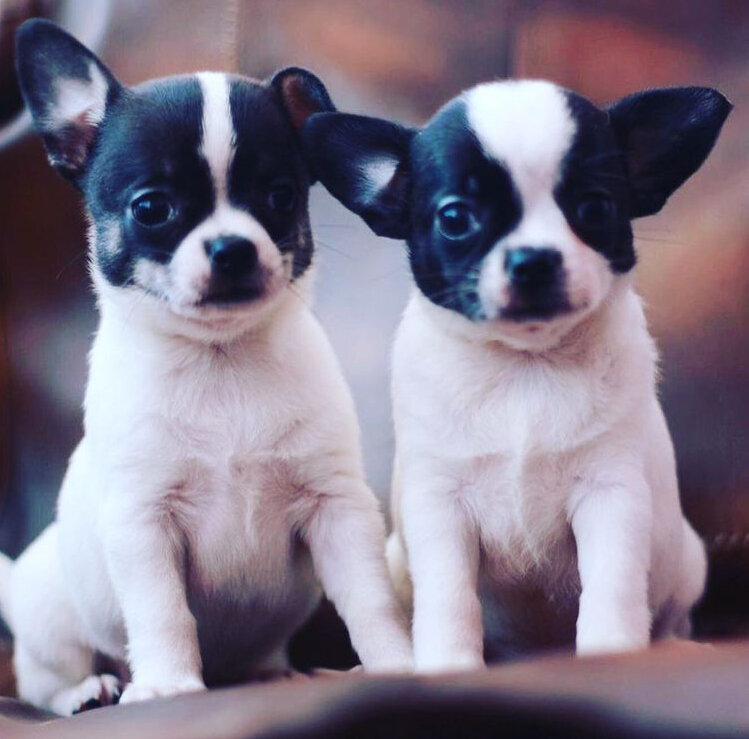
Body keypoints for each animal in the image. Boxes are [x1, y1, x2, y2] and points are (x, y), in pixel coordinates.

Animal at [0, 19, 412, 713]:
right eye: (151, 209)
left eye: (280, 198)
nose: (232, 247)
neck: (221, 361)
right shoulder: (144, 522)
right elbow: (163, 611)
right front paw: (167, 684)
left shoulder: (338, 509)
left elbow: (370, 599)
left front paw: (398, 664)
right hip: (51, 619)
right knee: (43, 678)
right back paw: (89, 690)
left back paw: (277, 674)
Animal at [303, 79, 731, 670]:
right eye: (455, 219)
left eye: (594, 207)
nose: (534, 258)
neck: (523, 367)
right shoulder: (440, 507)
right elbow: (449, 597)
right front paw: (449, 666)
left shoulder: (611, 495)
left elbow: (612, 586)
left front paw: (610, 653)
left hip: (688, 562)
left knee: (671, 615)